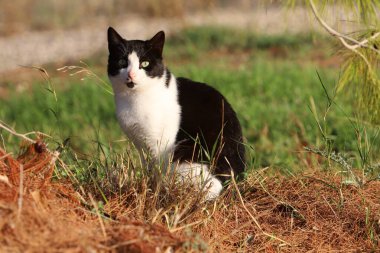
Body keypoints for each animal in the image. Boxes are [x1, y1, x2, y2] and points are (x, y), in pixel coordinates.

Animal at [106, 27, 246, 200]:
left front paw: (155, 193)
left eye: (144, 63)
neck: (133, 99)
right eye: (122, 62)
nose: (131, 75)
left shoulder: (159, 144)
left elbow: (158, 172)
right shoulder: (140, 145)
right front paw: (147, 187)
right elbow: (147, 168)